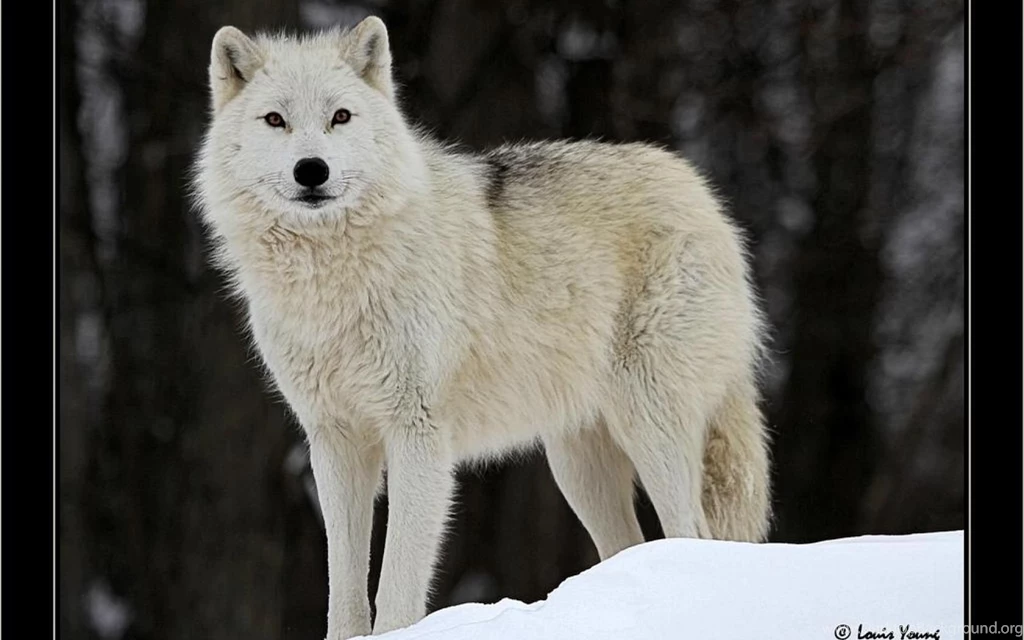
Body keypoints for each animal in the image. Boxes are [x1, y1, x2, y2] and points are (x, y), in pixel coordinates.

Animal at [194, 16, 772, 639]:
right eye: (275, 120)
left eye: (340, 117)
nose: (312, 171)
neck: (332, 277)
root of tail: (698, 189)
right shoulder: (334, 440)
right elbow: (344, 586)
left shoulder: (418, 434)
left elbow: (397, 580)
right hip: (578, 464)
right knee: (629, 544)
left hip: (650, 427)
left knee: (692, 533)